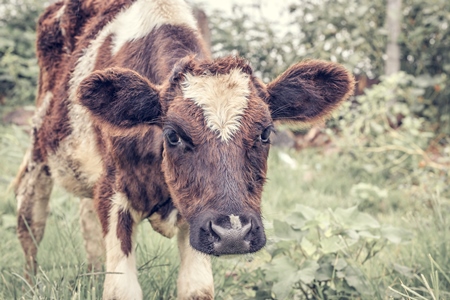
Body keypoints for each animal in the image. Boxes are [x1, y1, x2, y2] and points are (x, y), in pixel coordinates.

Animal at [15, 0, 356, 298]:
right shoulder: (112, 193)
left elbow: (197, 289)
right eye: (173, 135)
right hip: (38, 148)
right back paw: (30, 284)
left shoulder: (196, 218)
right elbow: (121, 289)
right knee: (30, 220)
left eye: (265, 133)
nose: (233, 233)